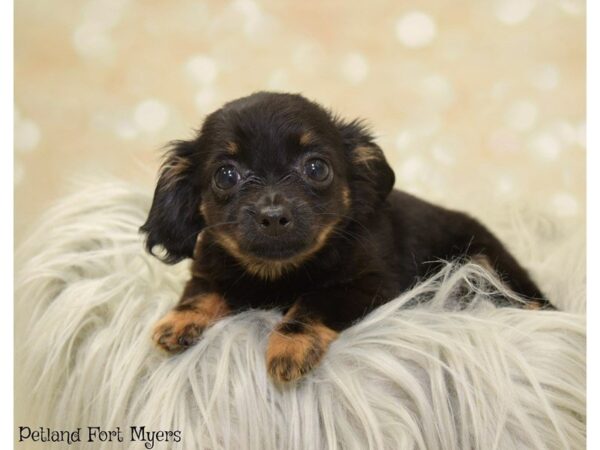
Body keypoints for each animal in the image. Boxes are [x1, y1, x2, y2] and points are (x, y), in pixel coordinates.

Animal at [139, 91, 552, 384]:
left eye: (316, 168)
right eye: (225, 176)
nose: (273, 215)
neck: (277, 273)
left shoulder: (370, 284)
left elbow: (312, 301)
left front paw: (289, 346)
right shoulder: (209, 270)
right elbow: (200, 292)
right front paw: (177, 322)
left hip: (486, 266)